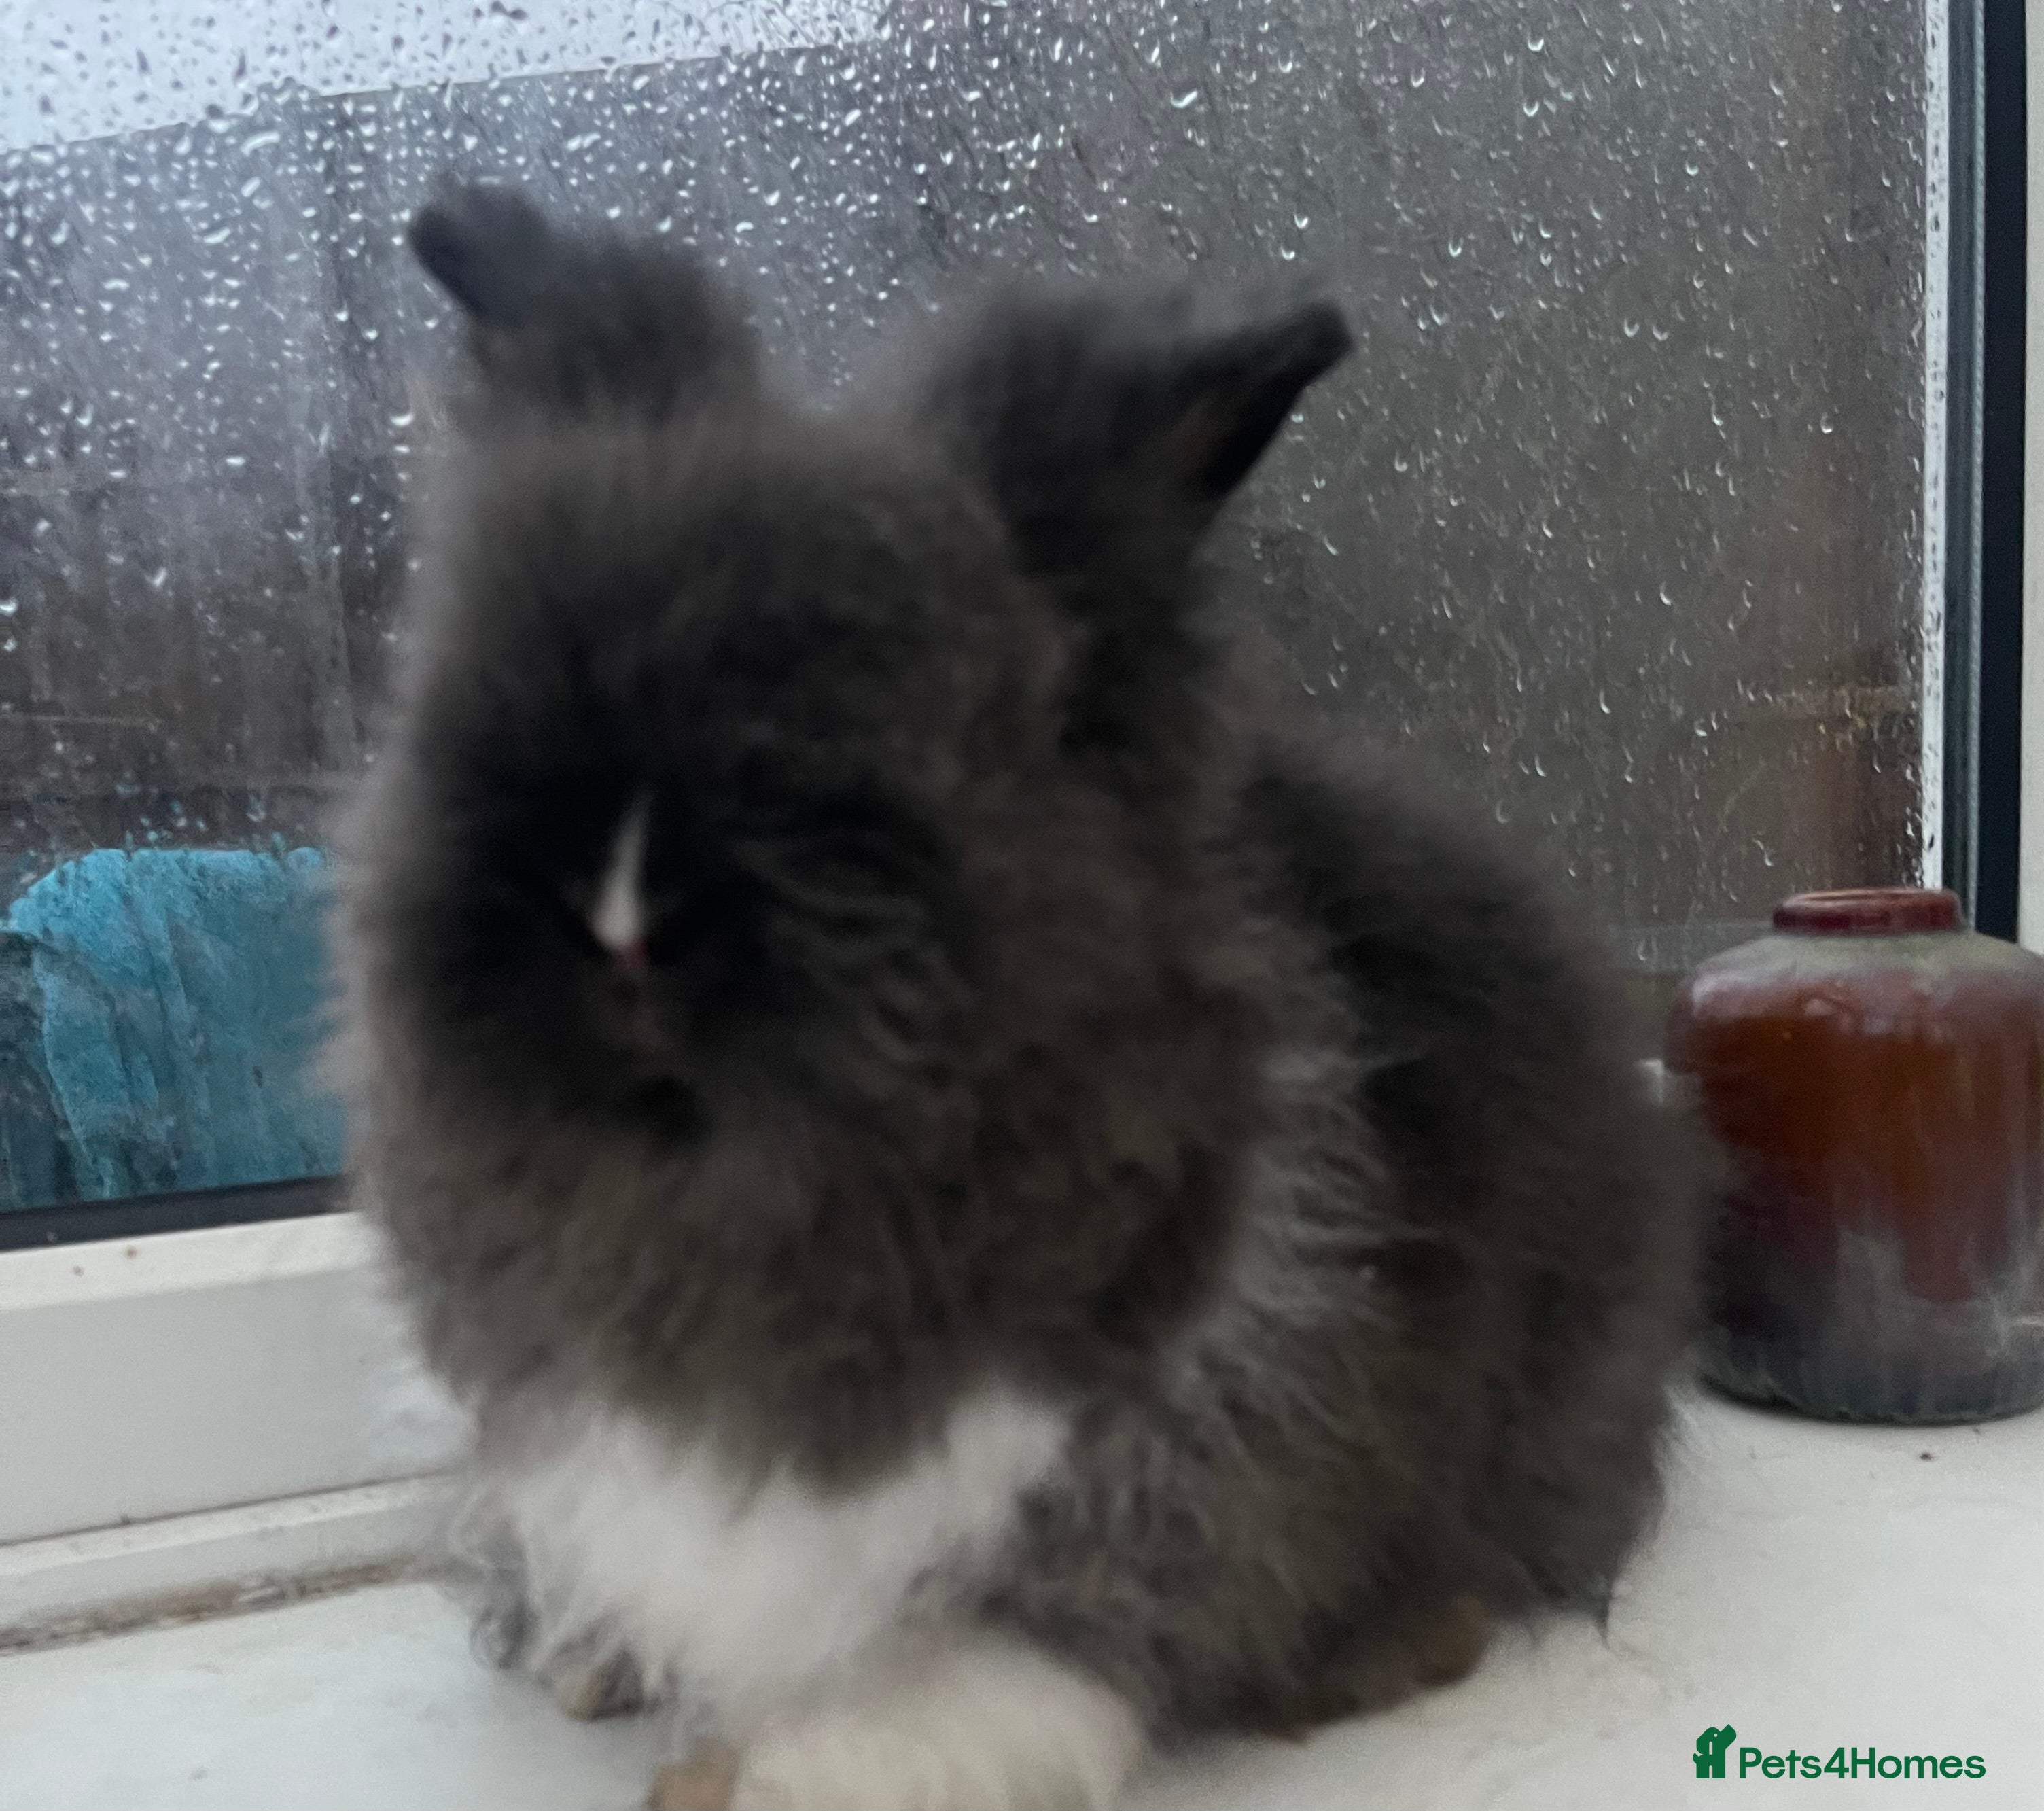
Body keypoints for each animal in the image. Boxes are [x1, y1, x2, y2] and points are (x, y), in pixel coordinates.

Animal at [333, 181, 1710, 1811]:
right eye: (475, 688)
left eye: (985, 717)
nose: (618, 912)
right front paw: (607, 1663)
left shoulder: (1182, 1455)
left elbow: (1023, 1644)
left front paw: (816, 1766)